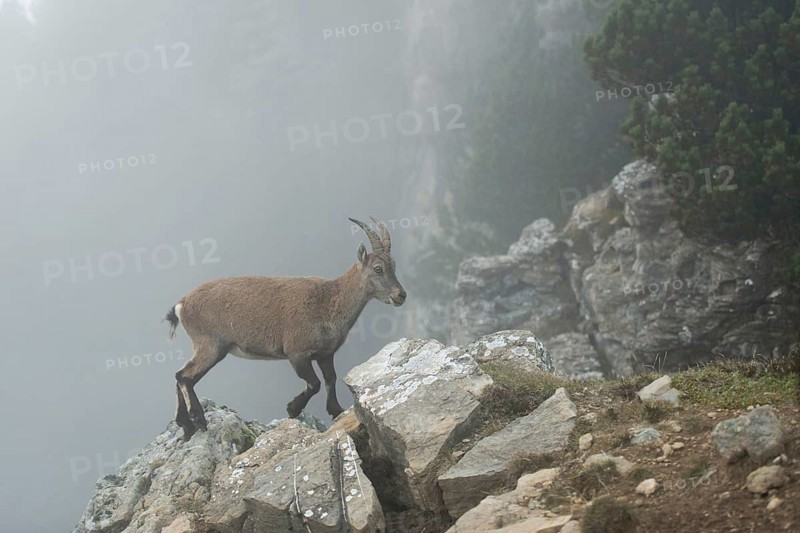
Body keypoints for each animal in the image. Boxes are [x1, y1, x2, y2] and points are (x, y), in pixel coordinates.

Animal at [164, 217, 406, 441]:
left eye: (394, 266)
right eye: (378, 269)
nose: (400, 295)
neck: (330, 299)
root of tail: (181, 304)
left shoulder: (325, 354)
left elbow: (330, 379)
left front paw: (335, 409)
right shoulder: (296, 353)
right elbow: (315, 383)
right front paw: (293, 408)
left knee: (180, 376)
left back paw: (186, 426)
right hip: (211, 346)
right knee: (184, 376)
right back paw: (198, 419)